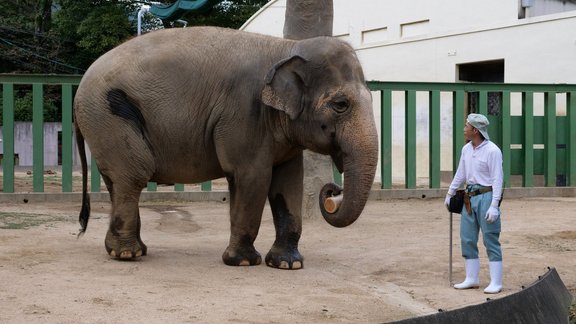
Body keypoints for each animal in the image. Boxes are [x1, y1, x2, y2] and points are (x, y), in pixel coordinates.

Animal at [74, 25, 380, 270]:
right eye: (341, 105)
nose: (332, 192)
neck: (287, 47)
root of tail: (79, 87)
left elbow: (289, 182)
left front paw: (287, 264)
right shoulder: (244, 114)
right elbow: (253, 178)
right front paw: (243, 261)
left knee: (118, 181)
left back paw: (131, 250)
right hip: (108, 117)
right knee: (133, 176)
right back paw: (127, 254)